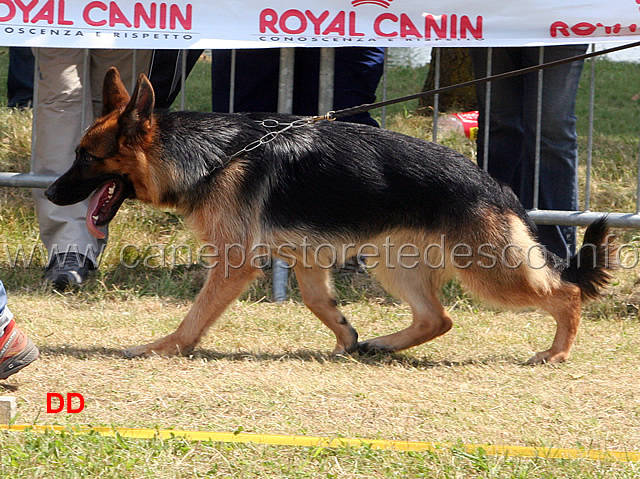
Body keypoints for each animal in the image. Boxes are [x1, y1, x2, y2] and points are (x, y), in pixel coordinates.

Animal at [45, 68, 616, 364]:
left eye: (86, 158)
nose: (49, 192)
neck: (212, 155)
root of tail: (497, 185)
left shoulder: (234, 264)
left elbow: (193, 319)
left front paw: (160, 348)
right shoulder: (307, 259)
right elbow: (320, 303)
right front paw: (346, 336)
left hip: (489, 272)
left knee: (565, 294)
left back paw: (556, 353)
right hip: (394, 263)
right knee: (438, 317)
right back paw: (383, 344)